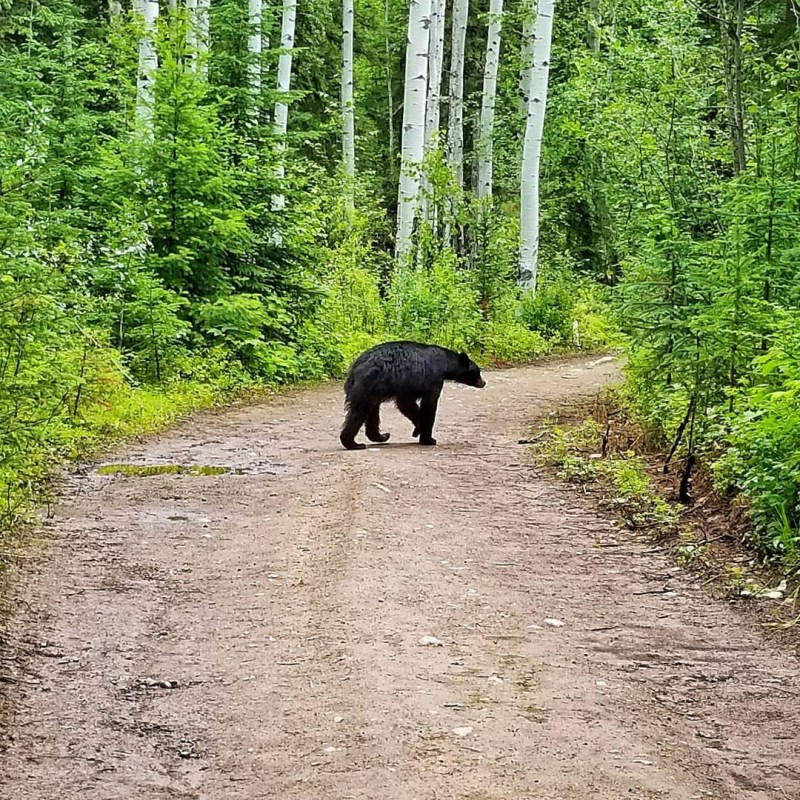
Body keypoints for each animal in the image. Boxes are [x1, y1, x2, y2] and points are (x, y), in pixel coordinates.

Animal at [339, 341, 486, 450]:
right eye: (478, 371)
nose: (484, 383)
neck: (445, 364)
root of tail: (355, 368)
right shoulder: (432, 379)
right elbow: (428, 405)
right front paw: (428, 438)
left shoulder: (407, 388)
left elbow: (406, 405)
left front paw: (418, 429)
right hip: (367, 386)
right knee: (358, 413)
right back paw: (353, 443)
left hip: (372, 391)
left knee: (372, 412)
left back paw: (381, 436)